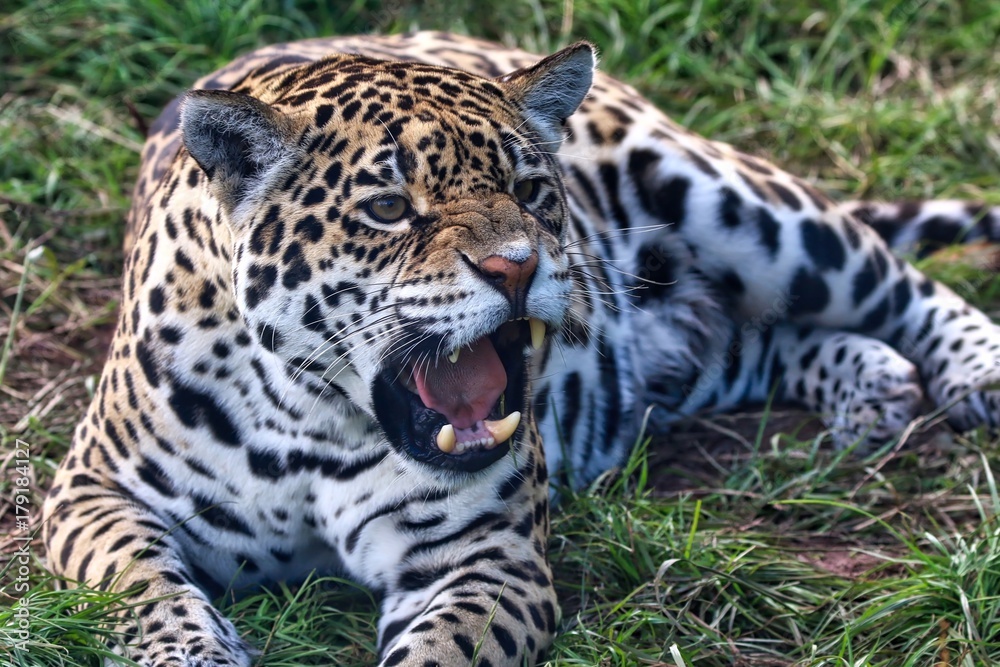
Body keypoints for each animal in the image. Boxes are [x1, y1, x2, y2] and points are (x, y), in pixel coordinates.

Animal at [42, 31, 1000, 666]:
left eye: (532, 190)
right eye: (388, 209)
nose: (518, 265)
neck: (311, 422)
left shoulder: (487, 556)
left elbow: (440, 652)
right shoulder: (93, 489)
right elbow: (143, 586)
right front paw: (193, 650)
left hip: (738, 206)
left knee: (892, 280)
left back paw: (973, 370)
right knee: (761, 336)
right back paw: (872, 383)